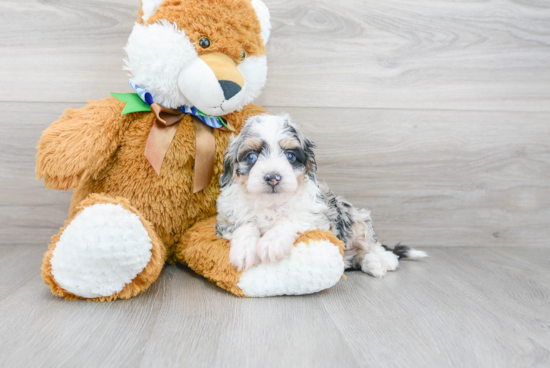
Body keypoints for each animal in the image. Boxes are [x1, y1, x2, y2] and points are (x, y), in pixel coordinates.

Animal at [216, 113, 426, 278]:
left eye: (290, 156)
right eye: (251, 156)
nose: (273, 178)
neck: (271, 203)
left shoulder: (318, 216)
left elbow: (290, 219)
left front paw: (271, 243)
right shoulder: (226, 219)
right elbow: (245, 224)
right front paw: (244, 251)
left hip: (355, 216)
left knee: (373, 245)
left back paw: (383, 260)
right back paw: (372, 263)